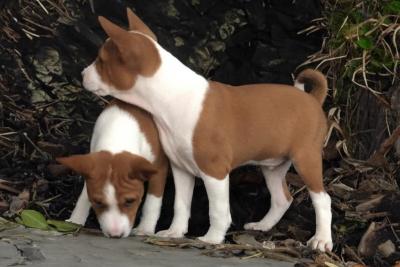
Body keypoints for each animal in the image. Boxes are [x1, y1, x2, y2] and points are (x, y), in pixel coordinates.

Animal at [57, 100, 167, 239]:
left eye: (130, 201)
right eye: (98, 202)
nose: (115, 235)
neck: (117, 136)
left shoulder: (159, 168)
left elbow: (152, 201)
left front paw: (145, 228)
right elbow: (84, 195)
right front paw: (75, 220)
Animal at [80, 8, 332, 251]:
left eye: (100, 61)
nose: (82, 74)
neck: (170, 97)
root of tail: (312, 99)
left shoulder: (214, 171)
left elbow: (218, 210)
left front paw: (213, 238)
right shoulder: (181, 169)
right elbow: (181, 205)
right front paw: (175, 232)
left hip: (305, 160)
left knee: (323, 200)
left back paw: (321, 240)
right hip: (272, 166)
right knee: (282, 198)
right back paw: (262, 225)